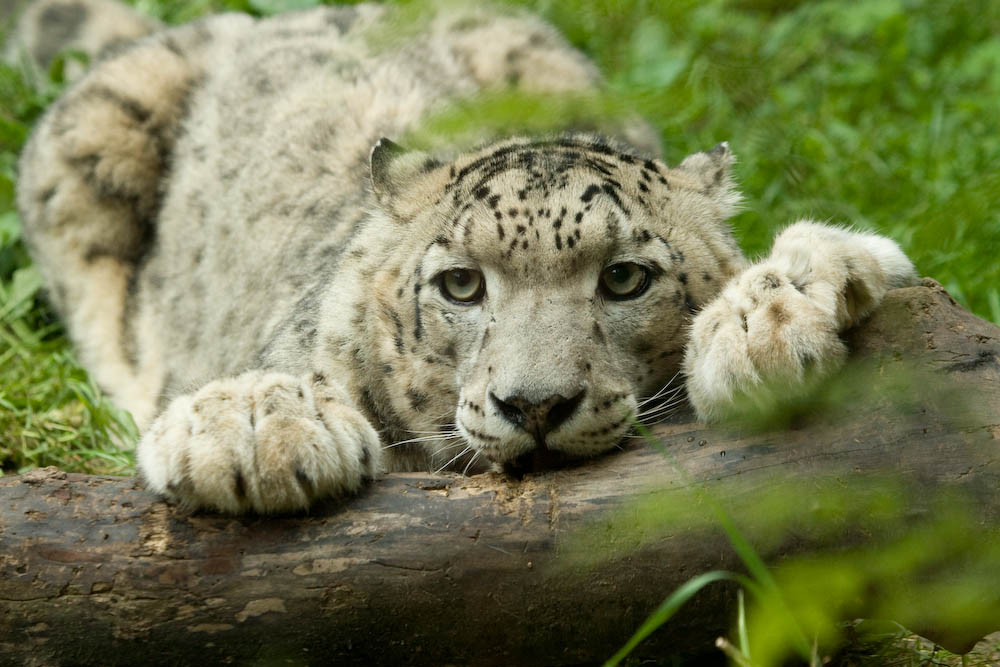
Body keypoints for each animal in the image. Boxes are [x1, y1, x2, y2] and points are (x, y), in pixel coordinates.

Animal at [9, 0, 916, 516]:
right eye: (461, 284)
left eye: (626, 277)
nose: (536, 406)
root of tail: (267, 17)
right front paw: (257, 426)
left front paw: (778, 308)